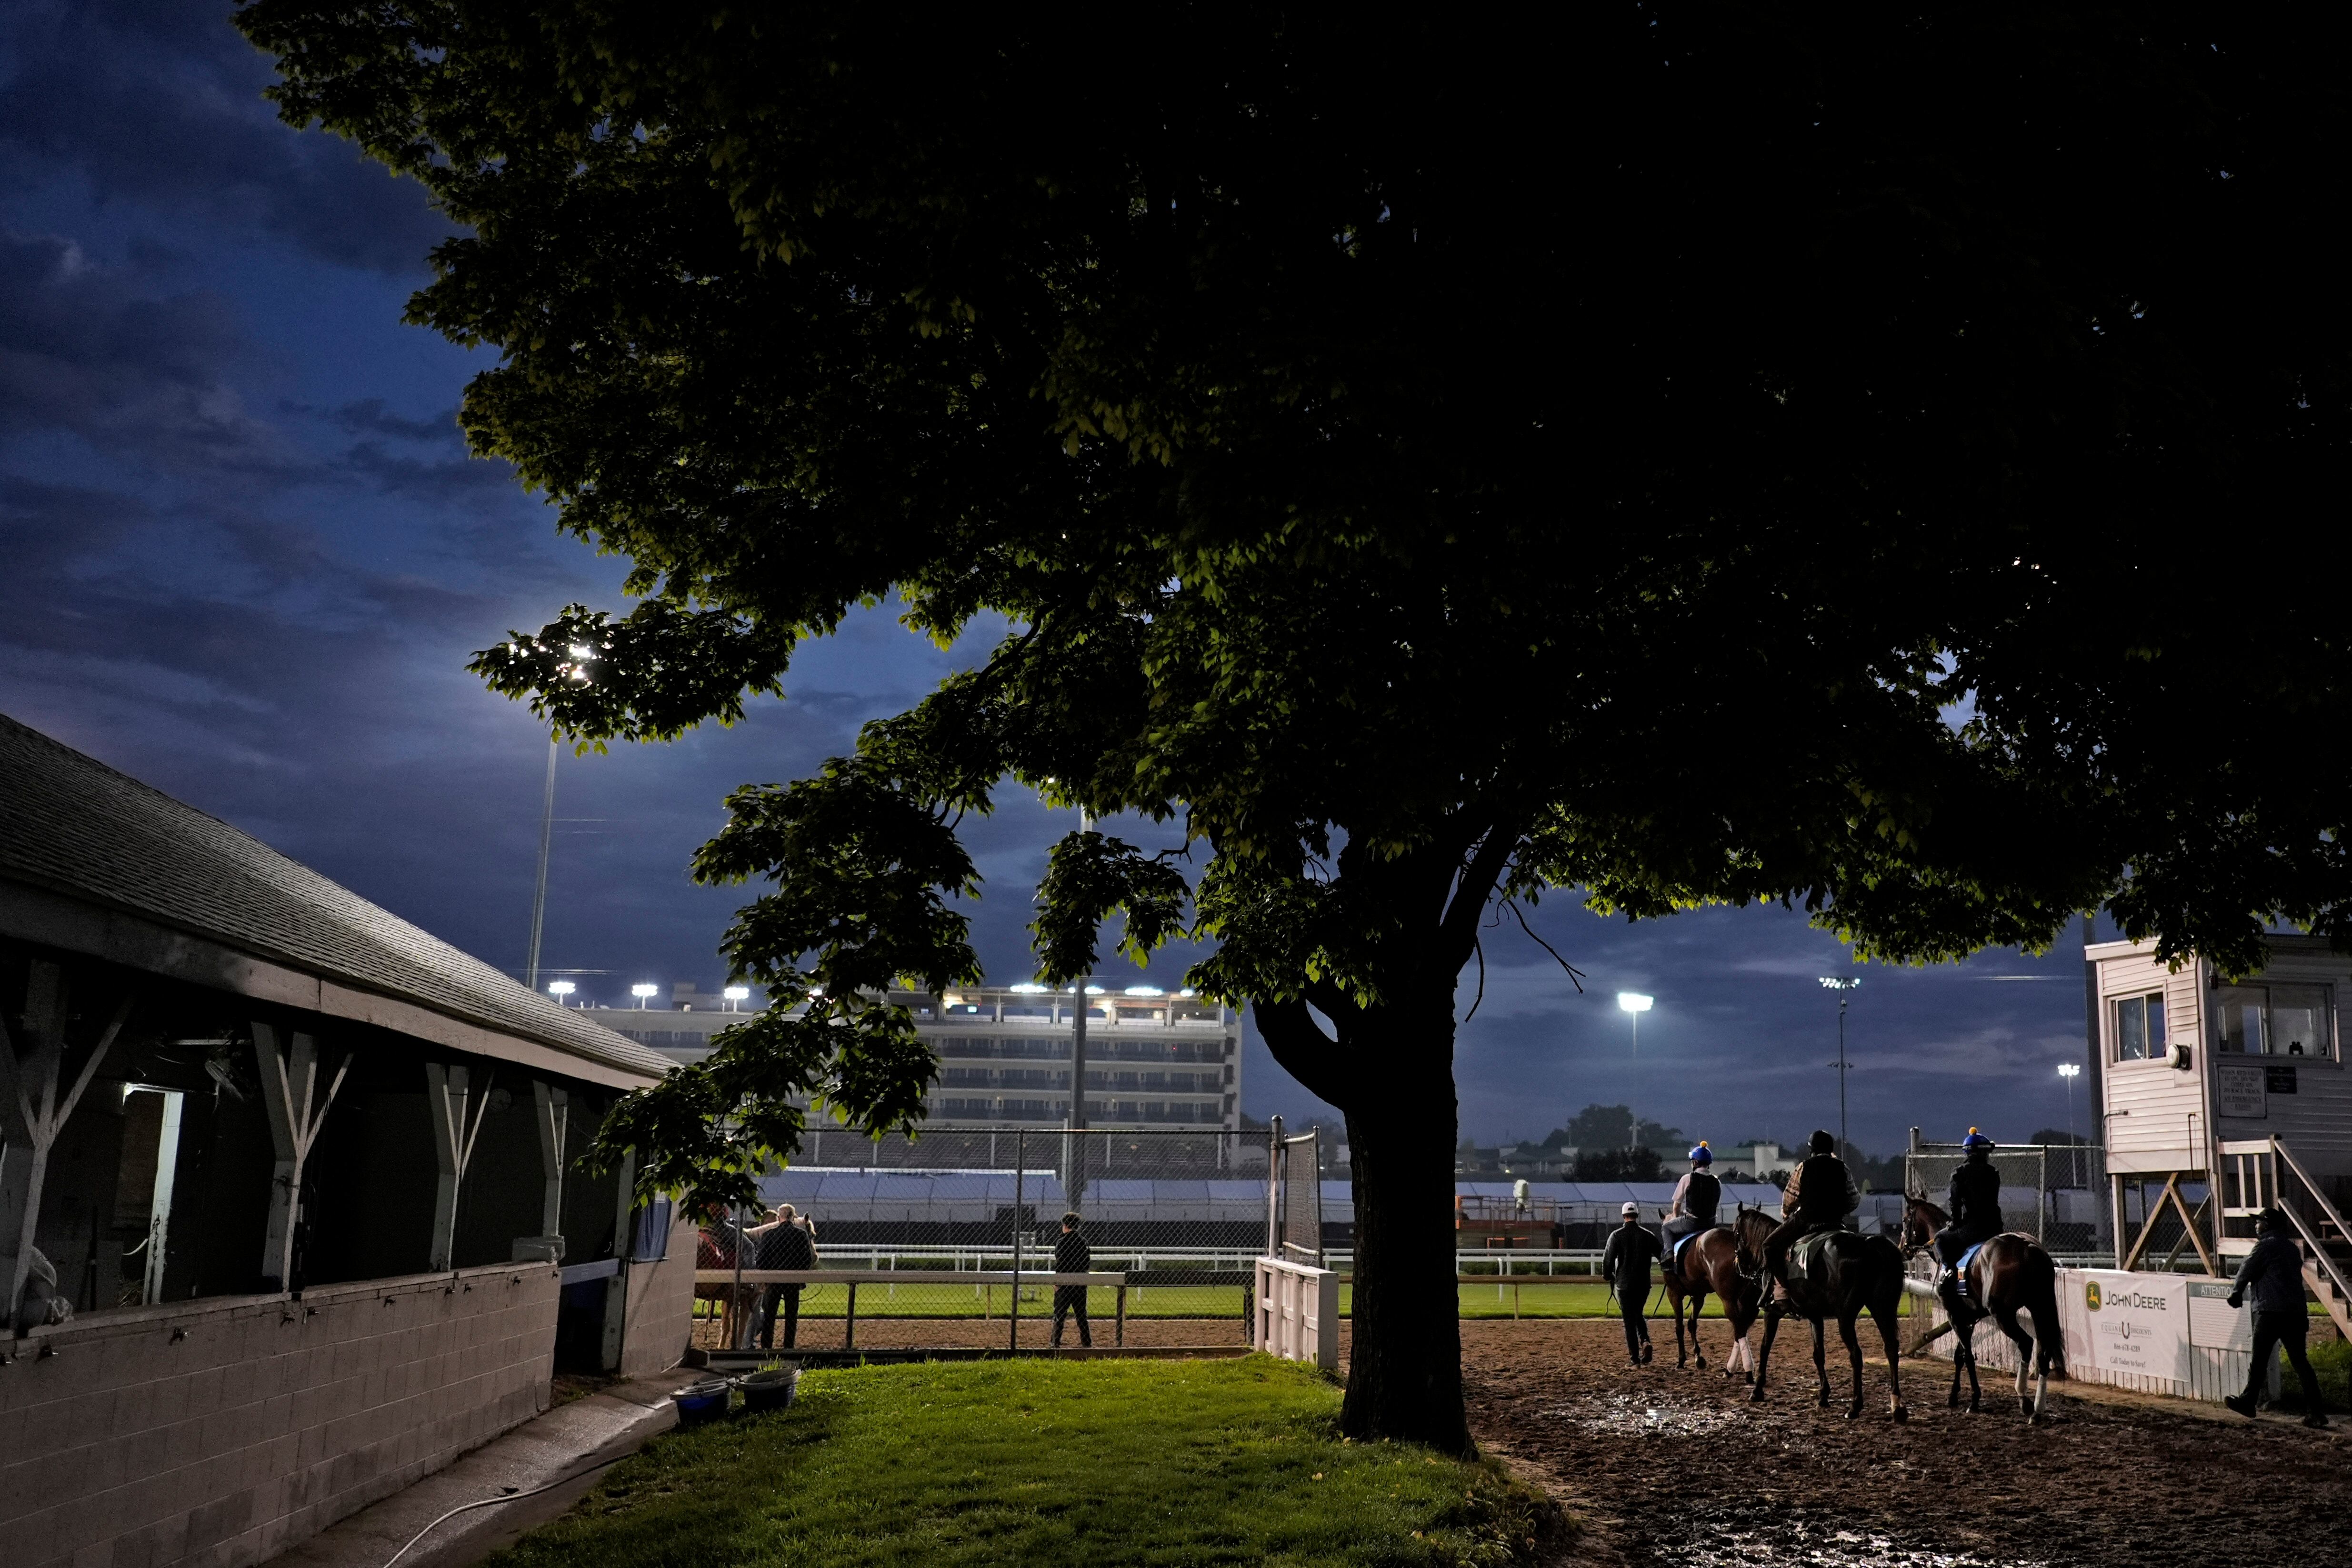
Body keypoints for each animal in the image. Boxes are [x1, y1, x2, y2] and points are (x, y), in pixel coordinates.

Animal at [1665, 1213, 1759, 1373]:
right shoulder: (1698, 1296)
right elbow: (1692, 1323)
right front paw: (1698, 1357)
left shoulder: (1674, 1294)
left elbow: (1679, 1327)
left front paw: (1682, 1359)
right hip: (1746, 1299)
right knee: (1743, 1326)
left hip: (1729, 1299)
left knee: (1739, 1327)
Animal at [1731, 1213, 1910, 1419]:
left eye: (1736, 1232)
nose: (1737, 1265)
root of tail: (1868, 1244)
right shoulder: (1815, 1317)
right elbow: (1819, 1355)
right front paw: (1824, 1396)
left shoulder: (1772, 1312)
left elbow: (1765, 1348)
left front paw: (1757, 1390)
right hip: (1882, 1309)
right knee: (1891, 1349)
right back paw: (1897, 1405)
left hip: (1846, 1318)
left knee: (1856, 1355)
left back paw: (1855, 1406)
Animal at [1900, 1203, 2070, 1419]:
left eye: (1906, 1220)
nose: (1902, 1248)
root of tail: (2028, 1247)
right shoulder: (1970, 1318)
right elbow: (1959, 1356)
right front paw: (1953, 1397)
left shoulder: (1954, 1316)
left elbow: (1968, 1357)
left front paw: (1974, 1401)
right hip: (2039, 1308)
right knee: (2043, 1354)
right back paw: (2038, 1410)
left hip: (2003, 1315)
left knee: (2026, 1343)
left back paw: (2023, 1398)